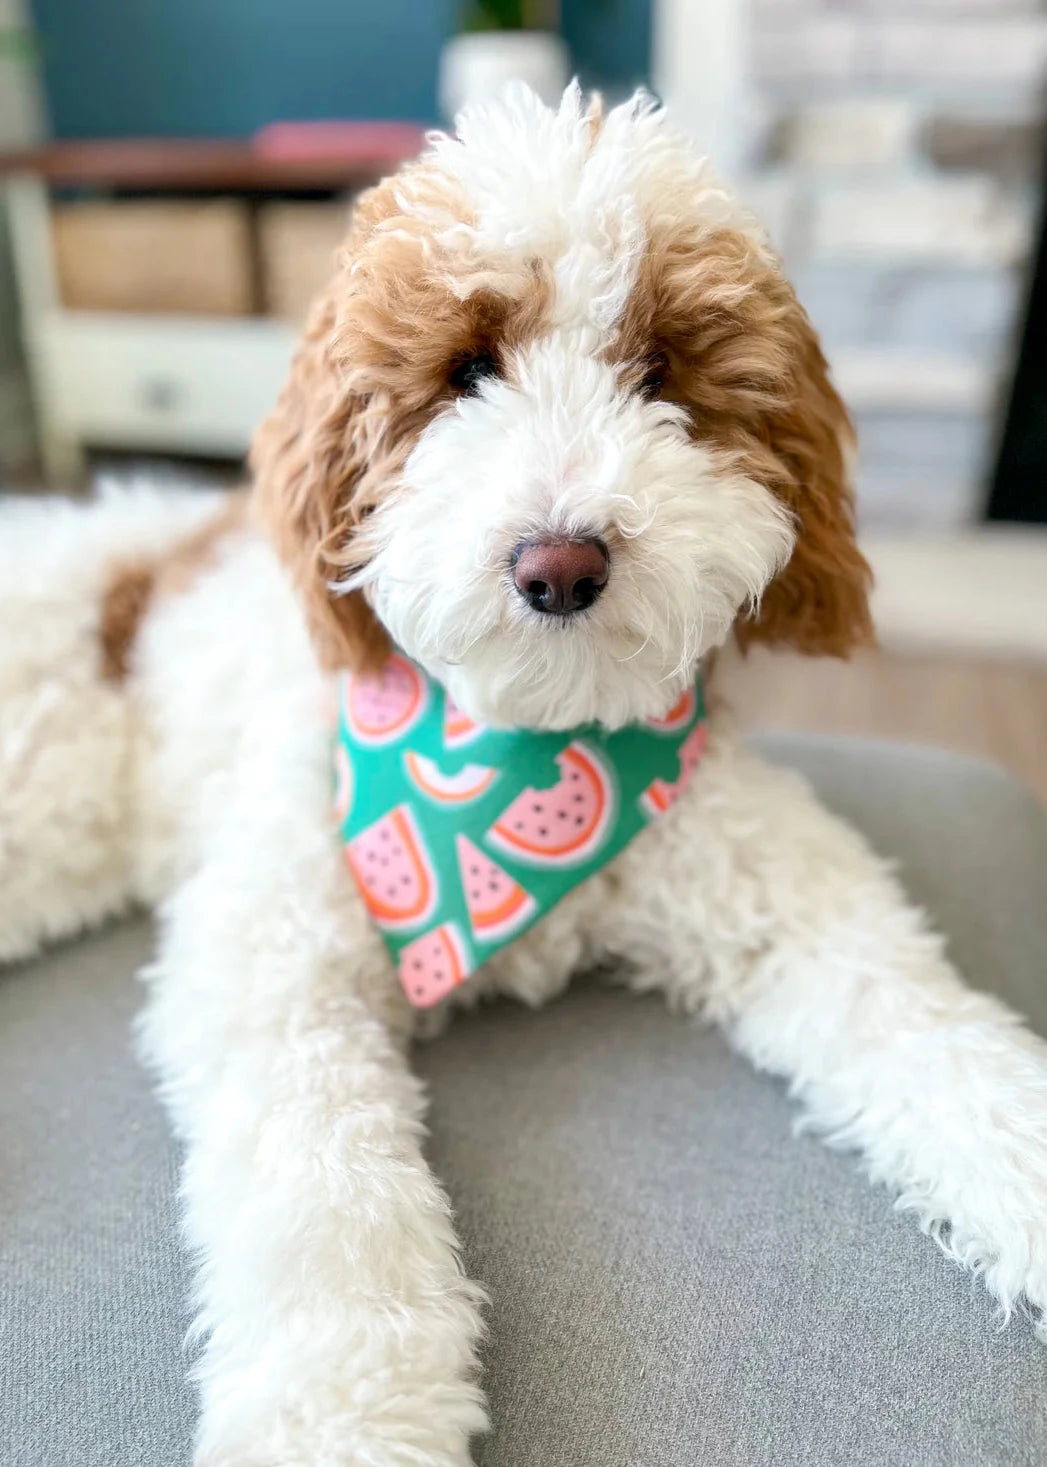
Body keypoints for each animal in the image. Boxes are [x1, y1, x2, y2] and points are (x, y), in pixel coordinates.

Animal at [2, 85, 1044, 1461]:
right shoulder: (276, 965)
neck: (520, 742)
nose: (560, 561)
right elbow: (327, 1193)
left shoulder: (788, 903)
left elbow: (937, 1037)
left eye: (660, 372)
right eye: (465, 371)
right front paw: (343, 1420)